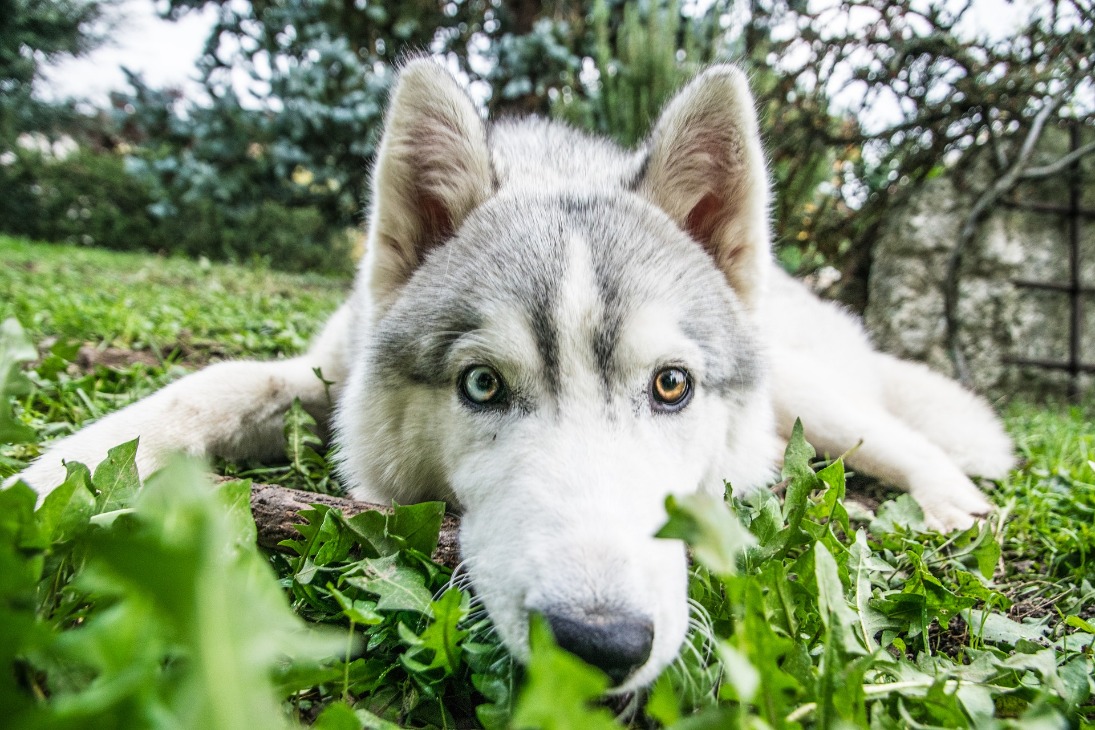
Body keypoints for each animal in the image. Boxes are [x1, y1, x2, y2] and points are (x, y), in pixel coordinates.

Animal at [12, 58, 1011, 691]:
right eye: (482, 386)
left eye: (671, 386)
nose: (599, 644)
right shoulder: (323, 373)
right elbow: (206, 385)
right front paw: (45, 480)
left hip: (813, 398)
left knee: (907, 439)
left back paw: (951, 508)